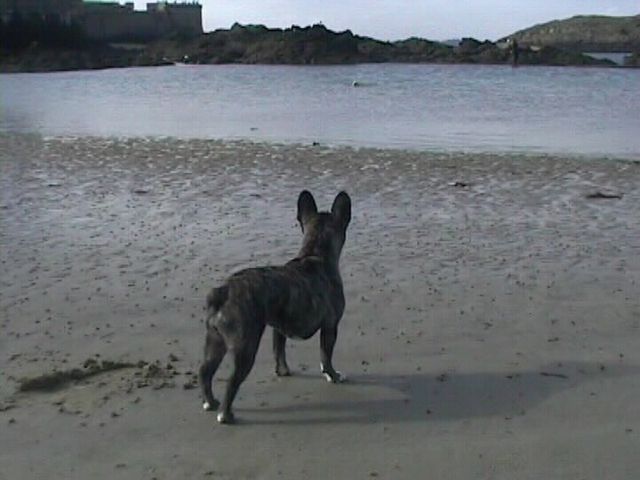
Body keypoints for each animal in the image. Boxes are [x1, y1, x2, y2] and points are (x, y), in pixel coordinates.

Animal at [199, 191, 350, 424]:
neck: (315, 254)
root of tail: (223, 292)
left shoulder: (279, 327)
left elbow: (279, 351)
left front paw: (283, 371)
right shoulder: (330, 326)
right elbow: (326, 356)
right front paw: (333, 376)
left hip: (215, 342)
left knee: (205, 371)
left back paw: (210, 402)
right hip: (245, 347)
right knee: (232, 381)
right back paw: (225, 414)